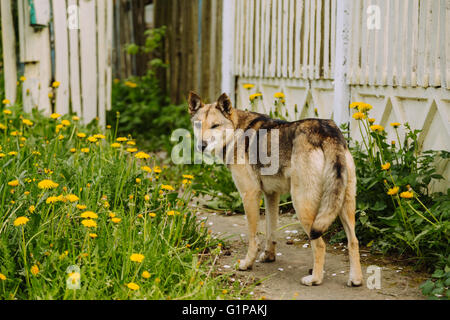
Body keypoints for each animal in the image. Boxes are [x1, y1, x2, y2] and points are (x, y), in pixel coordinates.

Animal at [188, 91, 364, 286]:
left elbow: (253, 238)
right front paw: (269, 256)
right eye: (198, 125)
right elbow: (270, 232)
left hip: (302, 206)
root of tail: (327, 131)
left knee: (320, 244)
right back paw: (355, 279)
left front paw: (247, 264)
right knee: (354, 241)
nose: (201, 146)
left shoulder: (250, 195)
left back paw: (315, 279)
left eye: (215, 126)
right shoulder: (271, 195)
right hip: (343, 205)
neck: (235, 130)